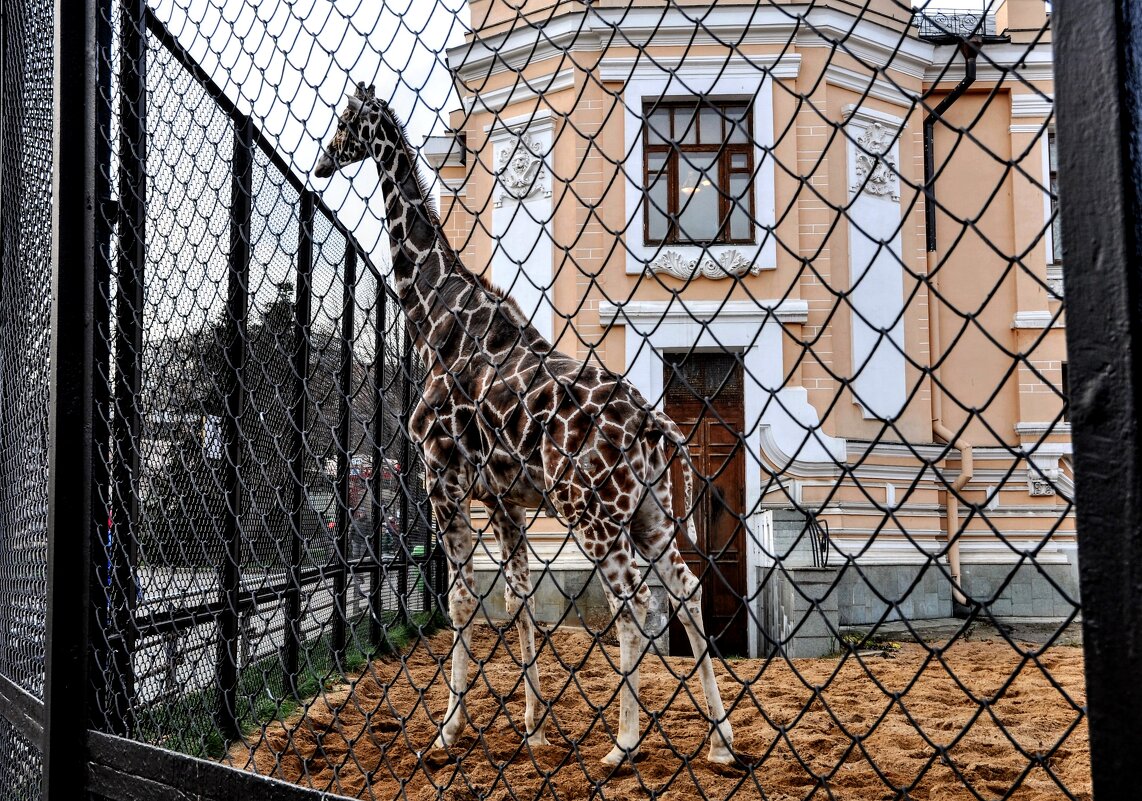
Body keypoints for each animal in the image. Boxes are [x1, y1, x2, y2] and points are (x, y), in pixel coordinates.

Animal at [317, 84, 735, 763]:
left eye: (347, 121)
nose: (324, 161)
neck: (436, 317)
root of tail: (654, 424)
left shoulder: (442, 477)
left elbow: (462, 601)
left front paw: (448, 730)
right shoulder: (504, 499)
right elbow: (518, 597)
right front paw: (534, 727)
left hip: (592, 513)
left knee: (634, 603)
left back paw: (624, 744)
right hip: (649, 511)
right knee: (686, 589)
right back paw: (721, 741)